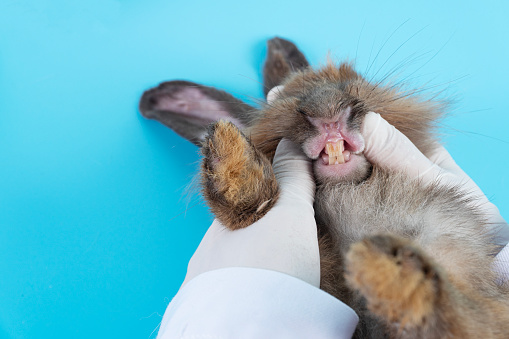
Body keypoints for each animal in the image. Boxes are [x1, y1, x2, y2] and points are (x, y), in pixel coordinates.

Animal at [138, 35, 508, 338]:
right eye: (286, 103)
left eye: (353, 80)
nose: (326, 107)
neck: (350, 194)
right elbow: (248, 206)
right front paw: (227, 149)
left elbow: (459, 313)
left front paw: (390, 269)